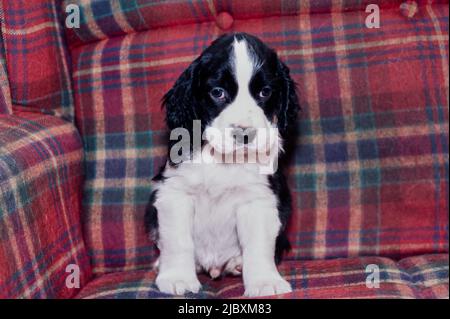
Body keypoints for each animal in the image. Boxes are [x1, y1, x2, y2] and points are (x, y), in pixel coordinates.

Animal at [147, 32, 298, 298]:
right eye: (217, 92)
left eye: (265, 92)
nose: (244, 133)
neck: (223, 160)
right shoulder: (175, 192)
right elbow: (177, 241)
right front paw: (177, 277)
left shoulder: (257, 199)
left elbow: (258, 245)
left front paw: (264, 282)